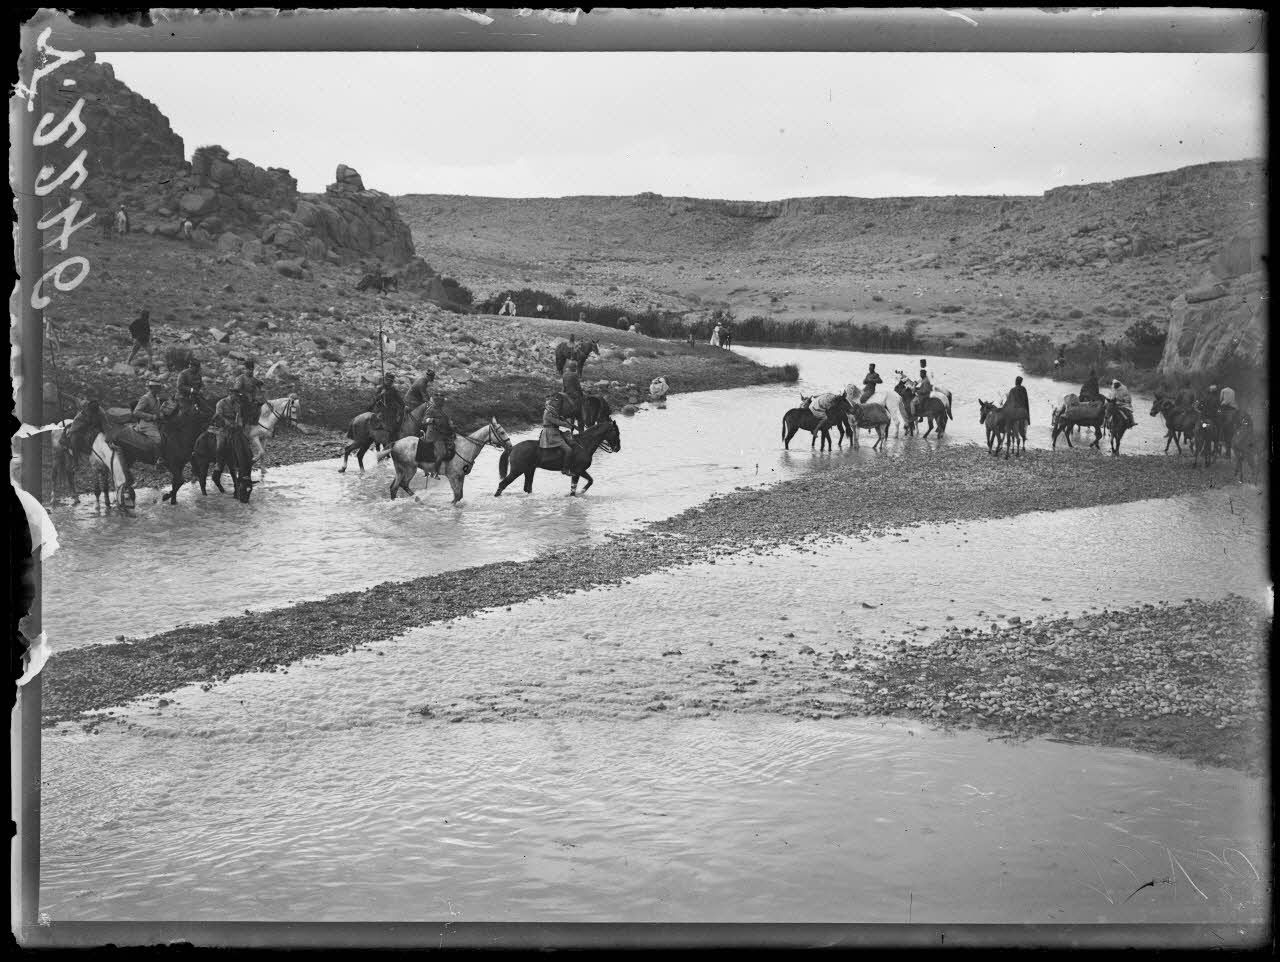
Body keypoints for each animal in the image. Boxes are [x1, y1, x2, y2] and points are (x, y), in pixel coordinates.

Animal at [379, 418, 511, 504]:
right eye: (502, 432)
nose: (510, 445)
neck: (466, 447)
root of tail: (395, 443)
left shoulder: (461, 476)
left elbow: (459, 496)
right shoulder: (452, 476)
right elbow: (457, 496)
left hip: (400, 470)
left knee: (394, 487)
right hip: (409, 469)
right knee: (403, 484)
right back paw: (418, 499)